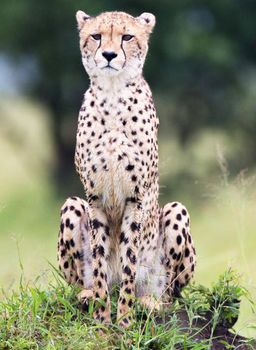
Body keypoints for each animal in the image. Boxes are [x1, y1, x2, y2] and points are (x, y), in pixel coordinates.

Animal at [56, 10, 196, 328]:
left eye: (127, 37)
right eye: (96, 36)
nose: (108, 54)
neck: (112, 94)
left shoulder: (137, 197)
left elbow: (129, 258)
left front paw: (124, 320)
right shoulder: (94, 198)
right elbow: (99, 260)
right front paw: (101, 317)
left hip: (176, 213)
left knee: (170, 293)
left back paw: (150, 301)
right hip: (72, 205)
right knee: (80, 280)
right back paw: (86, 294)